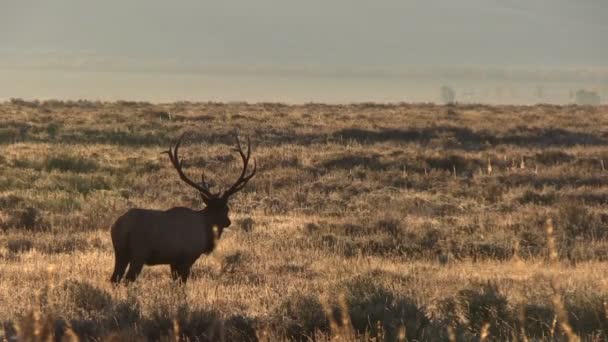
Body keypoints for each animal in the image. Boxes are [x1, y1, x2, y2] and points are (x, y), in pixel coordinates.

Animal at [110, 134, 255, 284]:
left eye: (226, 208)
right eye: (221, 209)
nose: (228, 222)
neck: (205, 230)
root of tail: (120, 226)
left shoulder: (173, 261)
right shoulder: (187, 257)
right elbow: (182, 282)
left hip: (120, 252)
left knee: (115, 278)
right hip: (139, 252)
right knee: (128, 278)